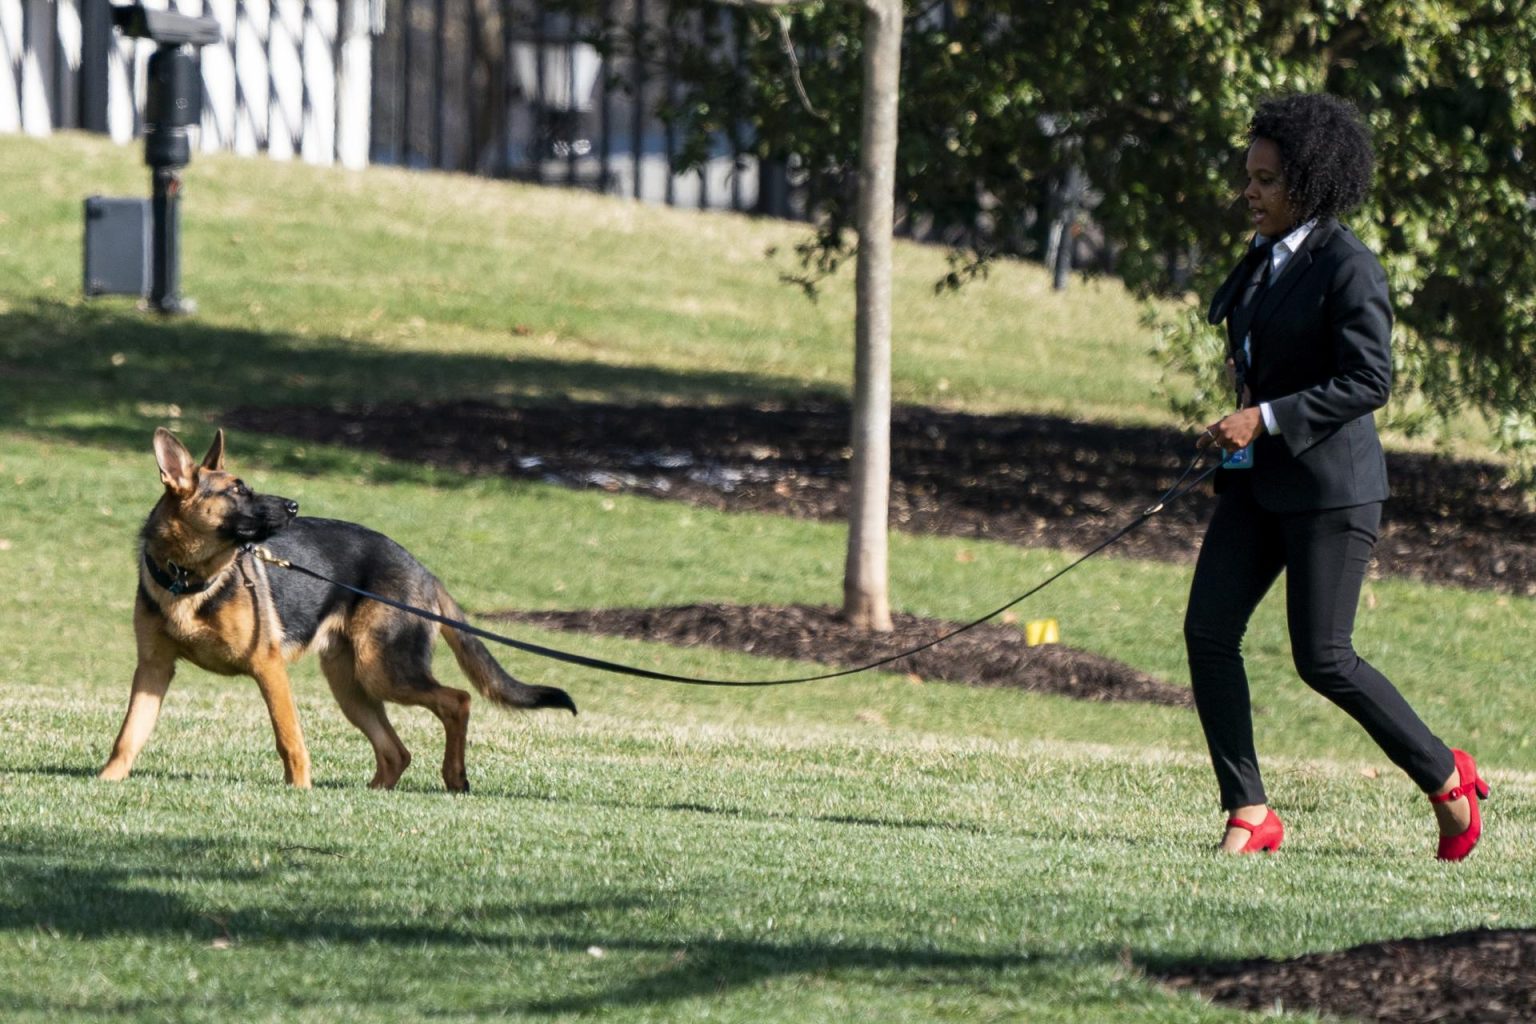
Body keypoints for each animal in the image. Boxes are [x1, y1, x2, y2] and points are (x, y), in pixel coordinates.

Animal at [99, 429, 577, 792]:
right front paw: (107, 780)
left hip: (381, 671)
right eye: (236, 490)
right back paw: (375, 792)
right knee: (397, 751)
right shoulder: (154, 669)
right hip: (352, 684)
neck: (189, 578)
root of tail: (423, 570)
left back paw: (454, 778)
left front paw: (300, 790)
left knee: (456, 701)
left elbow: (289, 737)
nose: (294, 506)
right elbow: (128, 734)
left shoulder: (268, 668)